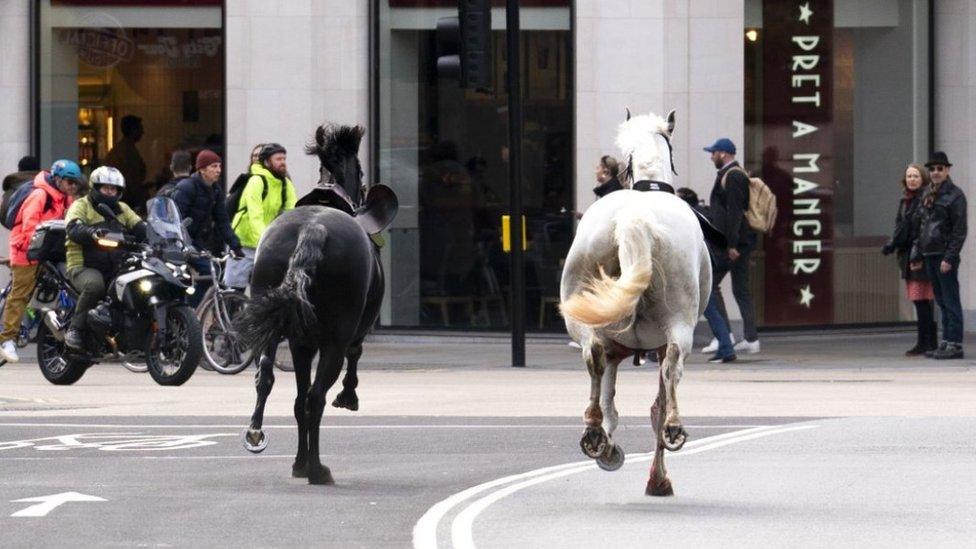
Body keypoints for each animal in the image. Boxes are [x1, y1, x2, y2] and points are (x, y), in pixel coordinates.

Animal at [234, 124, 394, 484]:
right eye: (360, 170)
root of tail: (314, 229)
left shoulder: (300, 344)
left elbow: (294, 399)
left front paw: (298, 461)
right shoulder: (350, 334)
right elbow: (354, 356)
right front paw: (348, 396)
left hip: (275, 327)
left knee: (271, 381)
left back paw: (265, 437)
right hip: (334, 340)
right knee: (316, 397)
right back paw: (318, 469)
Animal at [560, 109, 712, 494]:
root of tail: (634, 218)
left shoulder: (615, 348)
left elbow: (609, 397)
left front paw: (607, 445)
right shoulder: (653, 345)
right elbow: (654, 403)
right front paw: (657, 477)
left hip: (583, 317)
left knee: (593, 357)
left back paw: (593, 433)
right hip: (679, 324)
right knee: (671, 371)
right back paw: (673, 429)